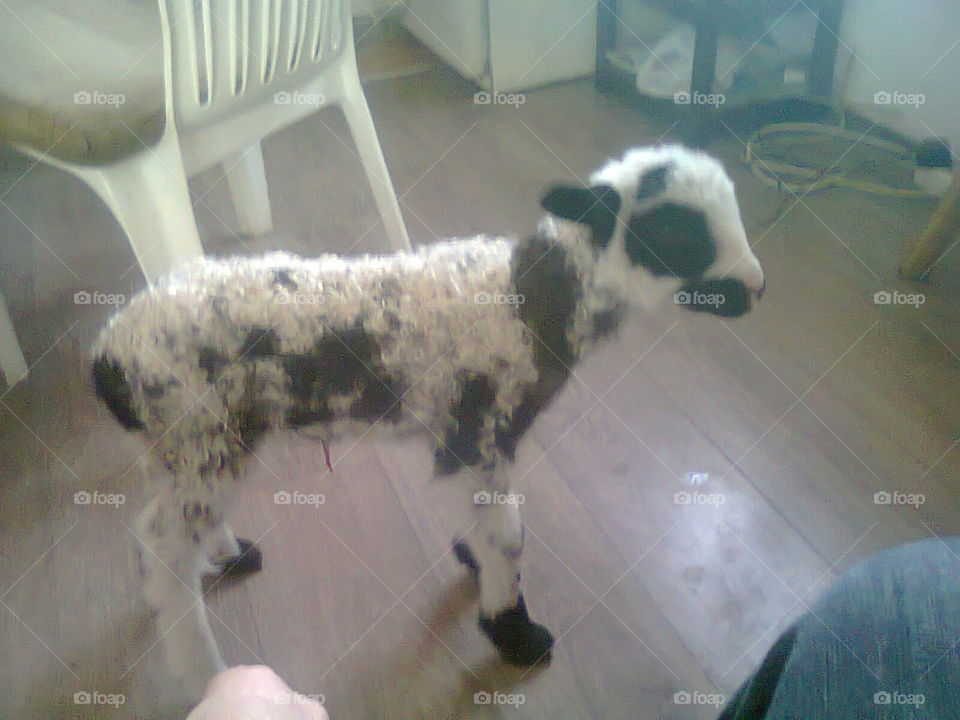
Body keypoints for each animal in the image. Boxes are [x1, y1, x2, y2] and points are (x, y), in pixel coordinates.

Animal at [91, 144, 764, 698]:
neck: (534, 296)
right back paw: (203, 671)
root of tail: (110, 351)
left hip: (182, 437)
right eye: (679, 236)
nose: (757, 289)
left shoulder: (464, 435)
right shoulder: (488, 427)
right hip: (201, 429)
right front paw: (512, 628)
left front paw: (474, 560)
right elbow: (508, 533)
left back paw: (225, 555)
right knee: (165, 545)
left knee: (160, 525)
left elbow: (488, 518)